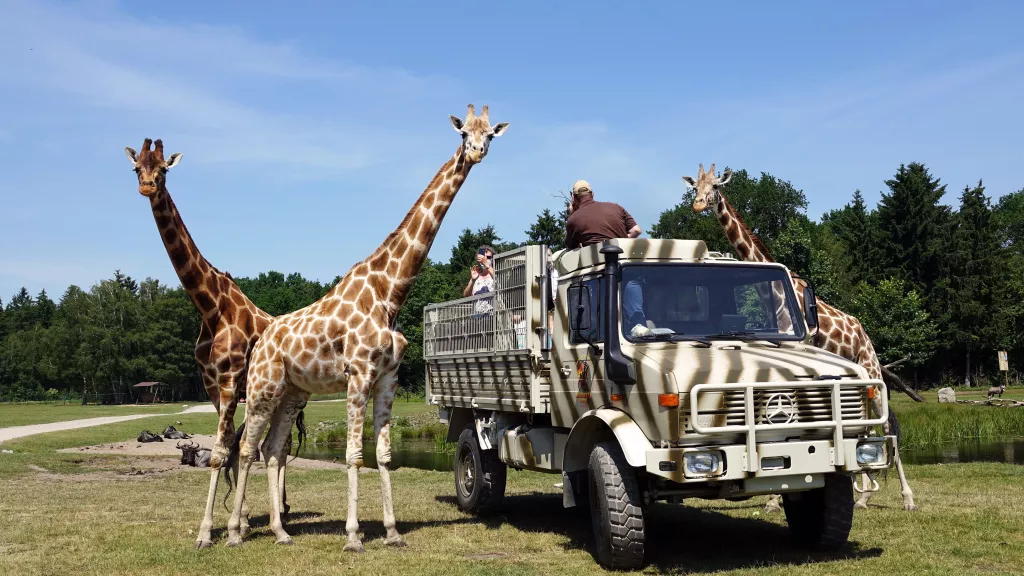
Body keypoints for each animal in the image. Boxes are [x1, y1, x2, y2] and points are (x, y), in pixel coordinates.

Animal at [124, 139, 299, 545]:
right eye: (136, 168)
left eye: (164, 170)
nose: (147, 187)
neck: (210, 308)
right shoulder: (211, 385)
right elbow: (230, 448)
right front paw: (242, 522)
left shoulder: (231, 381)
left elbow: (222, 452)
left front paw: (209, 531)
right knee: (269, 447)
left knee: (279, 449)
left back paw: (282, 511)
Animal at [226, 103, 509, 545]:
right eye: (464, 132)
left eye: (490, 134)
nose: (477, 152)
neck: (388, 293)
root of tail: (262, 339)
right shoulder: (358, 374)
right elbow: (354, 455)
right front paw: (354, 536)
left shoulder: (388, 377)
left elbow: (384, 455)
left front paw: (392, 532)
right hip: (262, 389)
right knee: (245, 449)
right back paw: (235, 532)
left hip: (292, 393)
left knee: (271, 450)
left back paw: (280, 531)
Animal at [684, 161, 917, 510]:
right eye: (694, 188)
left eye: (715, 187)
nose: (698, 205)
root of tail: (864, 333)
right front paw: (774, 497)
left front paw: (774, 498)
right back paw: (863, 496)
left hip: (871, 368)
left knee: (885, 423)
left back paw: (906, 498)